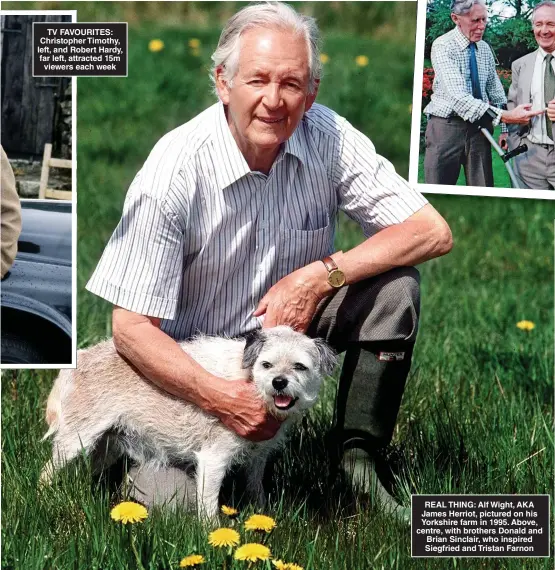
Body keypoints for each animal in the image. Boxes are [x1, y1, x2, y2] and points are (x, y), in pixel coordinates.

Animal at [41, 324, 336, 516]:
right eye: (267, 365)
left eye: (299, 367)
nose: (279, 382)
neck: (251, 380)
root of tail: (81, 356)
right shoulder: (214, 459)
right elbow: (208, 504)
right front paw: (211, 536)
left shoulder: (257, 457)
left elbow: (255, 486)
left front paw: (262, 516)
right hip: (76, 439)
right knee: (46, 472)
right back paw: (44, 498)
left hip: (107, 444)